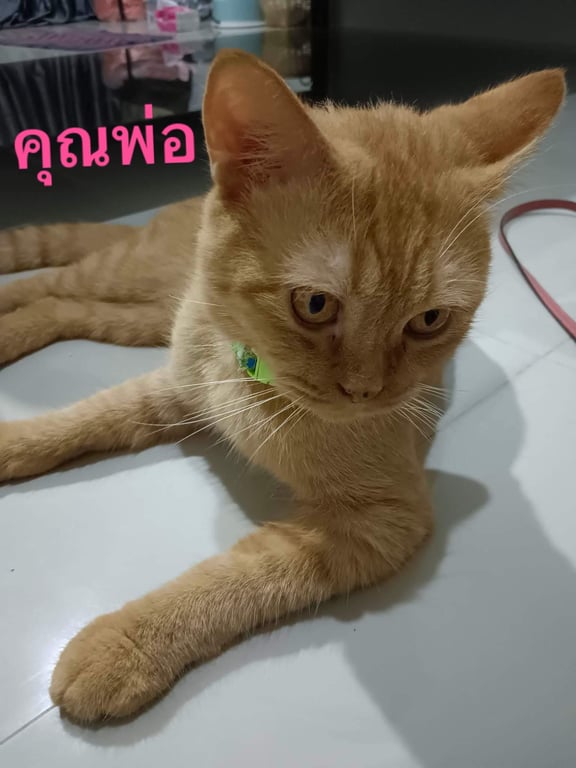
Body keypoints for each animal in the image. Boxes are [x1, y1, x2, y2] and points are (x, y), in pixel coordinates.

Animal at [0, 51, 565, 723]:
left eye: (429, 321)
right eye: (315, 305)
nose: (364, 392)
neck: (253, 382)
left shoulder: (380, 522)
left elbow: (239, 579)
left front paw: (124, 644)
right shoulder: (175, 388)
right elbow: (79, 418)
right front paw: (16, 440)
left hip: (134, 318)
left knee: (60, 305)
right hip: (128, 281)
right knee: (50, 280)